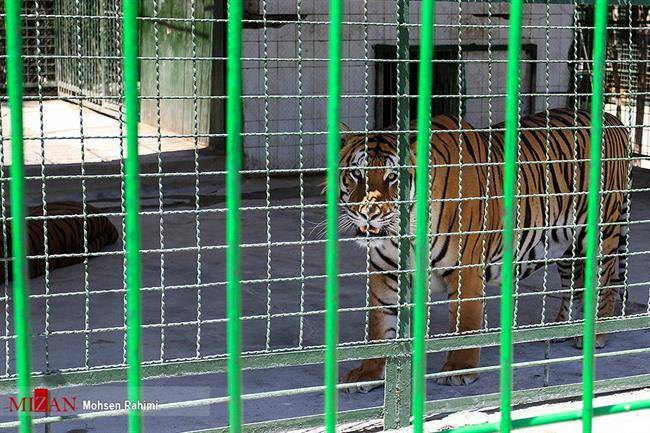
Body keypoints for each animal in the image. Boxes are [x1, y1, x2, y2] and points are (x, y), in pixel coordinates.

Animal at [340, 109, 628, 392]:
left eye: (392, 177)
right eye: (357, 174)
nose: (368, 213)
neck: (405, 232)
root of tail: (614, 119)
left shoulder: (465, 268)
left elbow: (466, 321)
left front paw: (459, 369)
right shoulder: (385, 272)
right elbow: (380, 325)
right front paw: (368, 373)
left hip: (601, 231)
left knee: (606, 282)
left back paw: (597, 333)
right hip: (564, 241)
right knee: (574, 283)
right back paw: (561, 329)